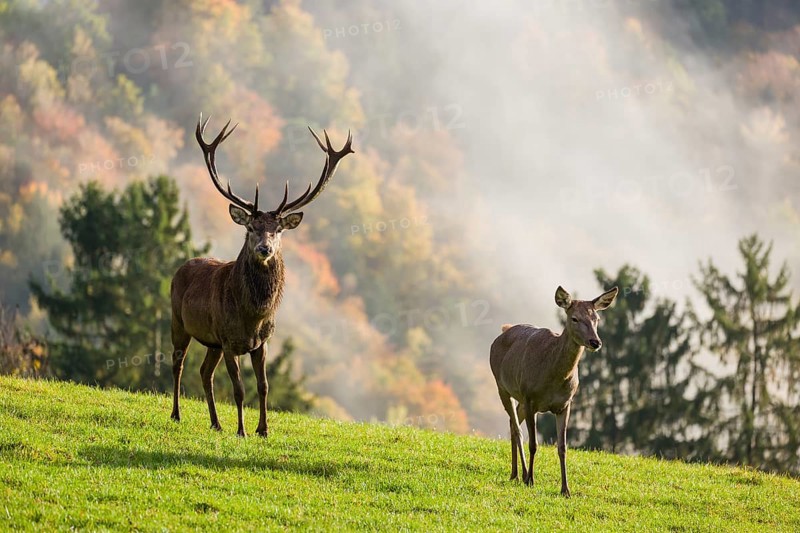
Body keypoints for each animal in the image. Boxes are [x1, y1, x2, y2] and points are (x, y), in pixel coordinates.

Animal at [169, 114, 354, 437]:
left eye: (277, 229)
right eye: (250, 227)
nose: (264, 248)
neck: (252, 316)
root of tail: (181, 267)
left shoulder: (262, 342)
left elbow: (264, 386)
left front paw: (263, 430)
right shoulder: (229, 340)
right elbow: (240, 389)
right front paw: (242, 430)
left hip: (212, 342)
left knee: (205, 373)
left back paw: (216, 423)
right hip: (178, 321)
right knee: (177, 364)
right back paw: (177, 414)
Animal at [490, 285, 618, 497]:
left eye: (597, 319)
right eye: (574, 318)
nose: (595, 342)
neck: (553, 379)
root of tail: (504, 330)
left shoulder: (565, 404)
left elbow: (562, 447)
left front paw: (566, 489)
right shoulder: (531, 398)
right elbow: (534, 444)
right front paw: (531, 480)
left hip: (519, 397)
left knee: (513, 422)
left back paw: (516, 473)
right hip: (502, 386)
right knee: (516, 428)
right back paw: (521, 474)